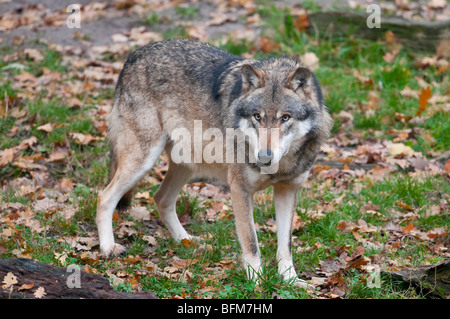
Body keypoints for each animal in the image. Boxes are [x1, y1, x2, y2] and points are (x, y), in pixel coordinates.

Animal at [96, 38, 332, 286]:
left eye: (285, 117)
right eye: (257, 117)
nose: (264, 157)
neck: (281, 167)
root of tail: (134, 55)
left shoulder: (288, 189)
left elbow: (285, 245)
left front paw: (290, 280)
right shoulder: (239, 189)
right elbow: (251, 242)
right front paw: (257, 283)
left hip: (185, 164)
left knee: (161, 199)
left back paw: (185, 240)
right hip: (143, 160)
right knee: (104, 197)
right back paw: (108, 248)